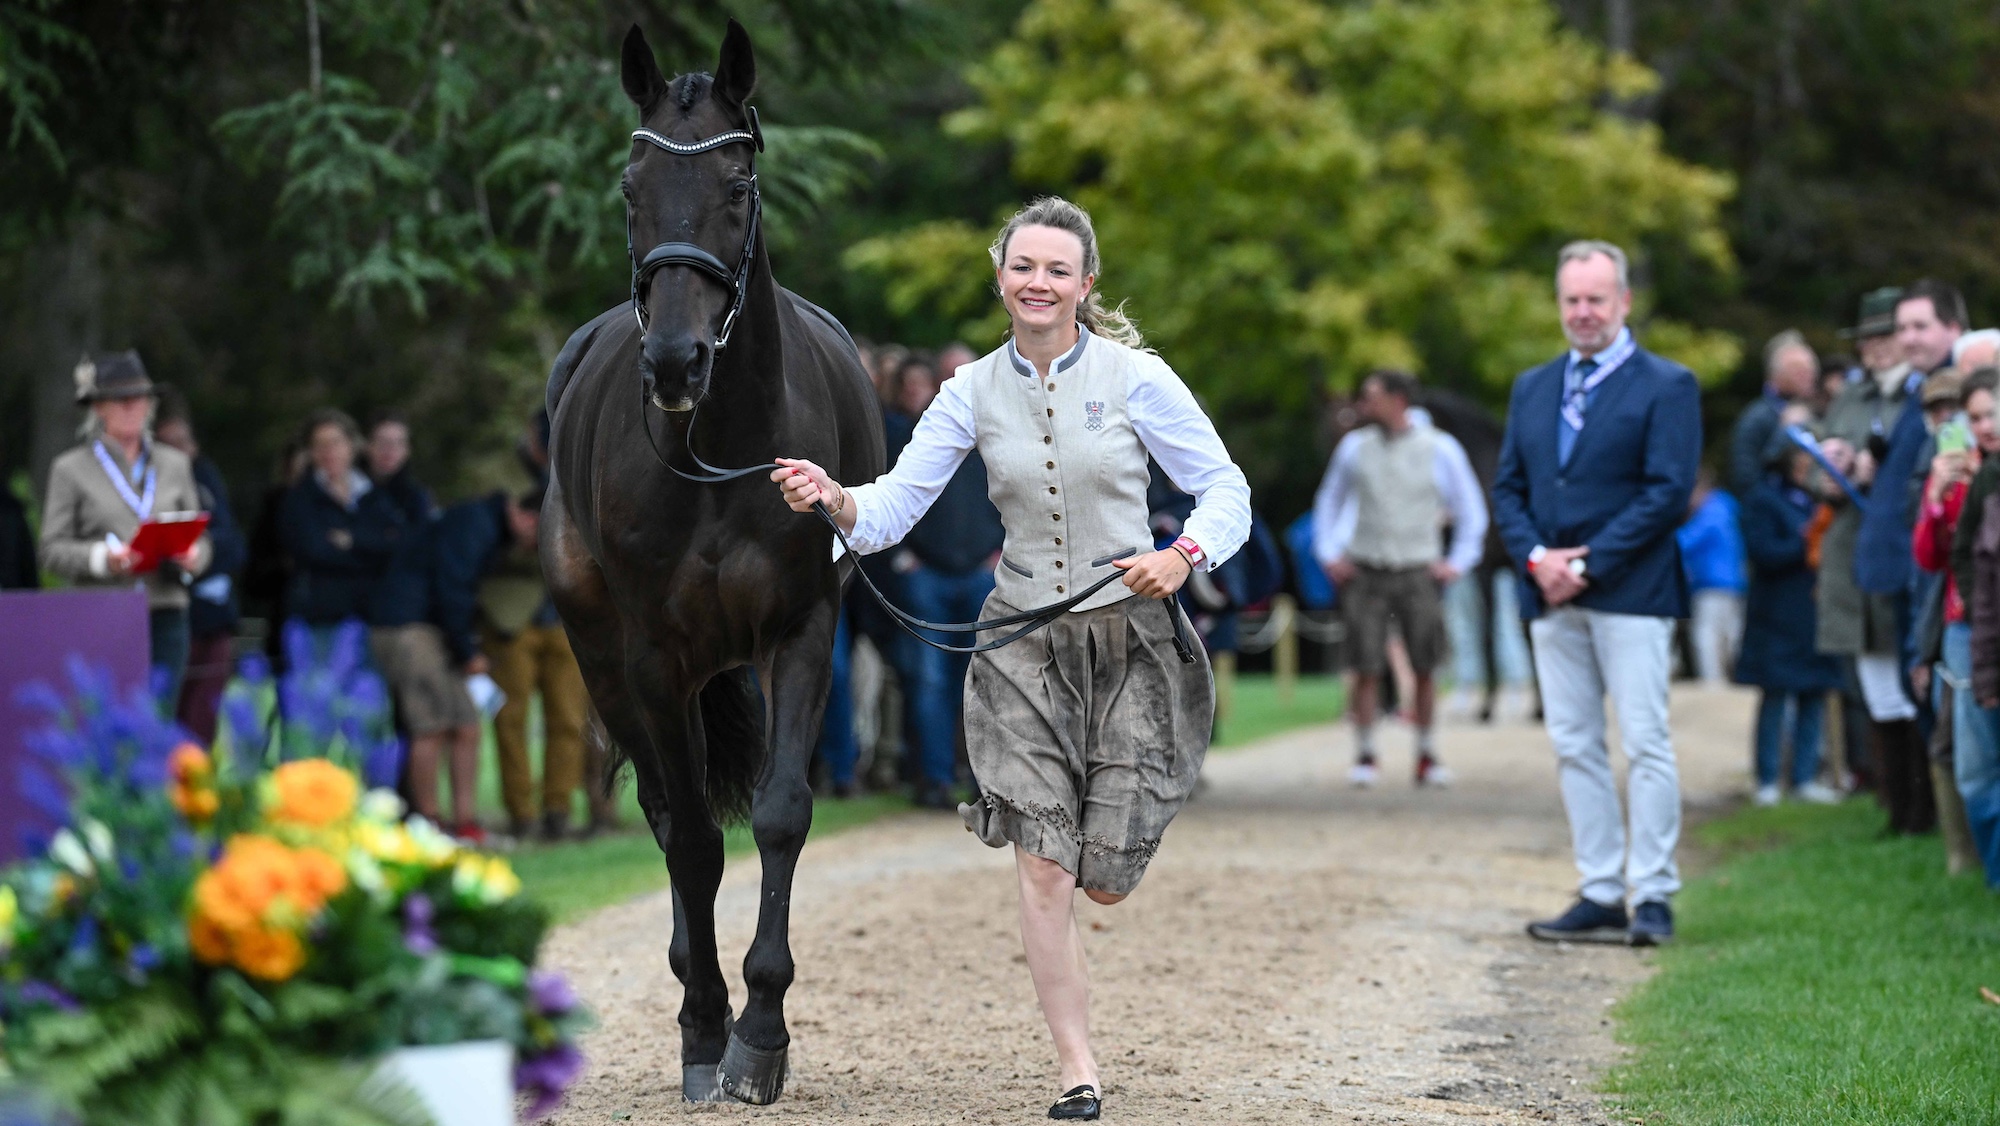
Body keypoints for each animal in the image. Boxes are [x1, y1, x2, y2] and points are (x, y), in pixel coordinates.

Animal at [540, 21, 883, 1105]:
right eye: (629, 187)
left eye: (737, 184)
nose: (675, 362)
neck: (722, 449)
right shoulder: (653, 654)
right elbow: (691, 838)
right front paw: (705, 1029)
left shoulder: (801, 631)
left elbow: (778, 816)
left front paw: (761, 1032)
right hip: (604, 659)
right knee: (664, 814)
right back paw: (695, 989)